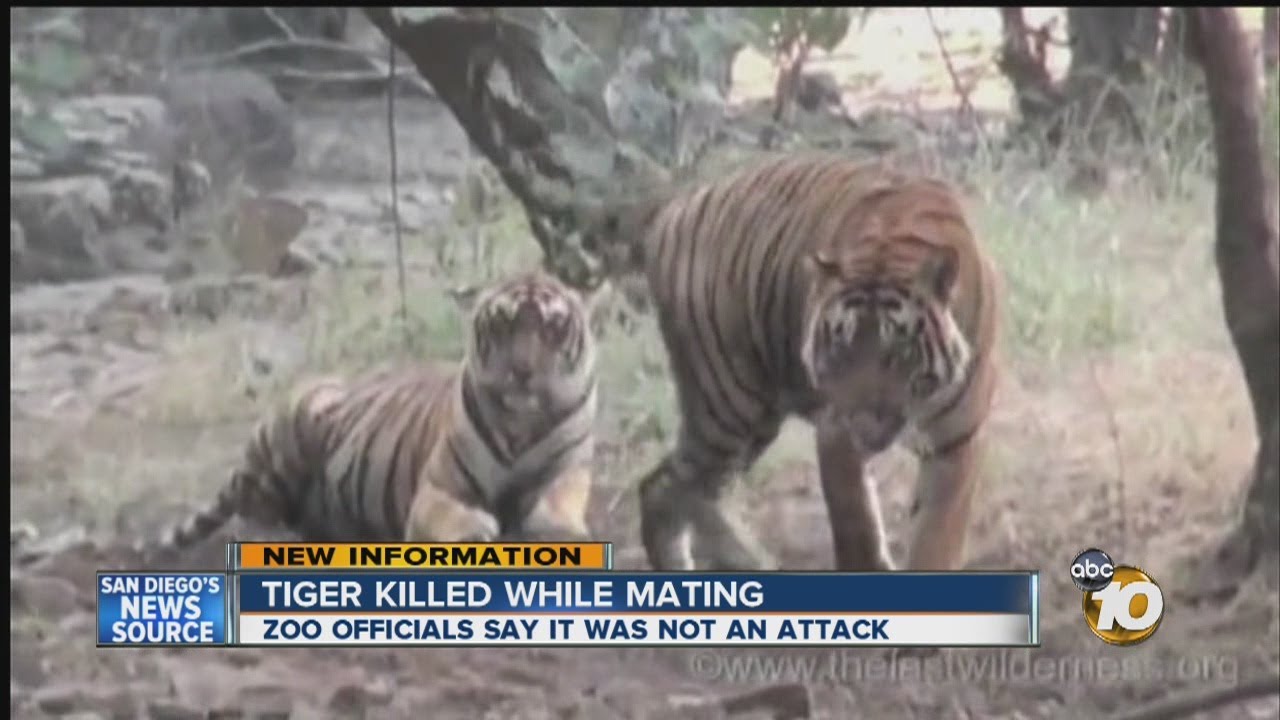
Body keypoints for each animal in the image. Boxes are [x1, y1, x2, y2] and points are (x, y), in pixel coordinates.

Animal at [143, 270, 598, 561]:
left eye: (552, 327)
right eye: (503, 324)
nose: (522, 371)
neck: (520, 424)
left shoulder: (569, 470)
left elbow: (557, 503)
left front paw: (558, 529)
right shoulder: (435, 489)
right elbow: (452, 516)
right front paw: (476, 528)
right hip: (303, 419)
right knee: (256, 509)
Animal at [579, 153, 1000, 573]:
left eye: (897, 351)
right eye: (840, 349)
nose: (861, 424)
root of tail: (678, 206)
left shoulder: (957, 442)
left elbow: (937, 537)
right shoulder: (835, 434)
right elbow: (857, 529)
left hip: (751, 421)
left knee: (679, 489)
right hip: (728, 406)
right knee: (668, 487)